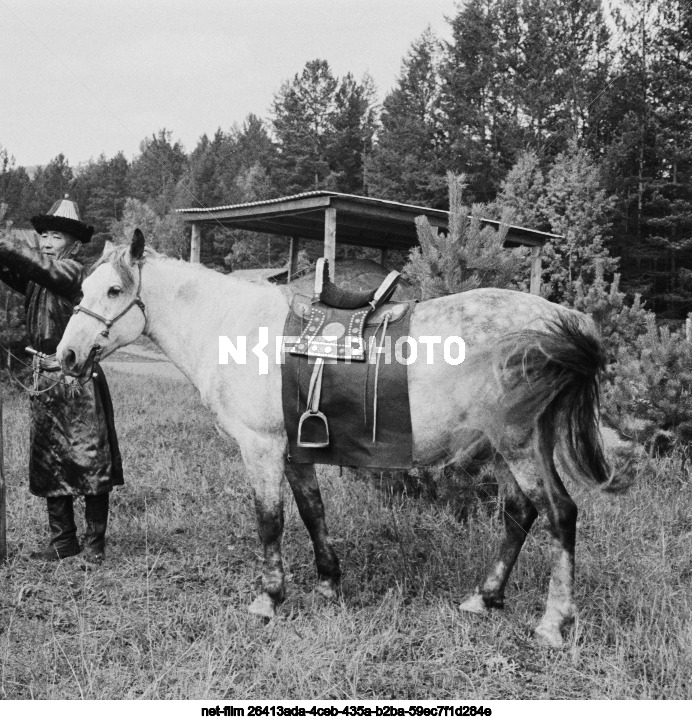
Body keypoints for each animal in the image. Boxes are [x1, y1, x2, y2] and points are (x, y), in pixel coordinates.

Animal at [55, 229, 620, 648]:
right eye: (81, 291)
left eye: (113, 291)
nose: (66, 356)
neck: (234, 327)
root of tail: (563, 318)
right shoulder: (295, 452)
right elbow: (312, 512)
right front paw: (329, 582)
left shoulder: (261, 448)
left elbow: (270, 521)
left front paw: (268, 599)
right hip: (507, 446)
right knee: (519, 514)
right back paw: (484, 597)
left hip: (518, 444)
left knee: (559, 513)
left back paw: (553, 623)